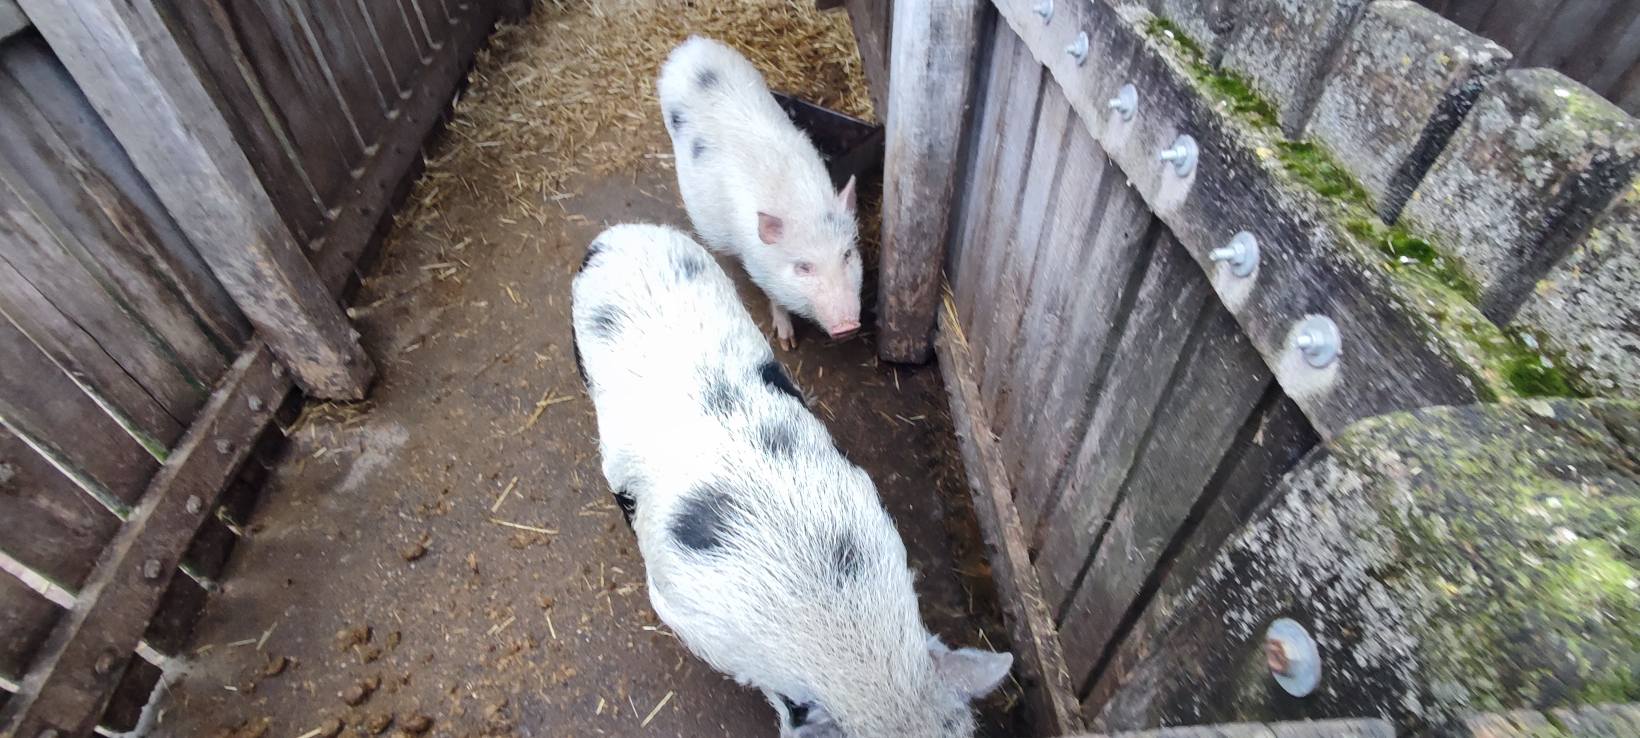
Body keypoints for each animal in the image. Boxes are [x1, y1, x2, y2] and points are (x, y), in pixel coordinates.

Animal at [657, 36, 863, 350]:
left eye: (847, 255)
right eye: (803, 267)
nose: (848, 326)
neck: (799, 204)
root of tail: (690, 46)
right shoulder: (759, 267)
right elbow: (775, 296)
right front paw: (787, 342)